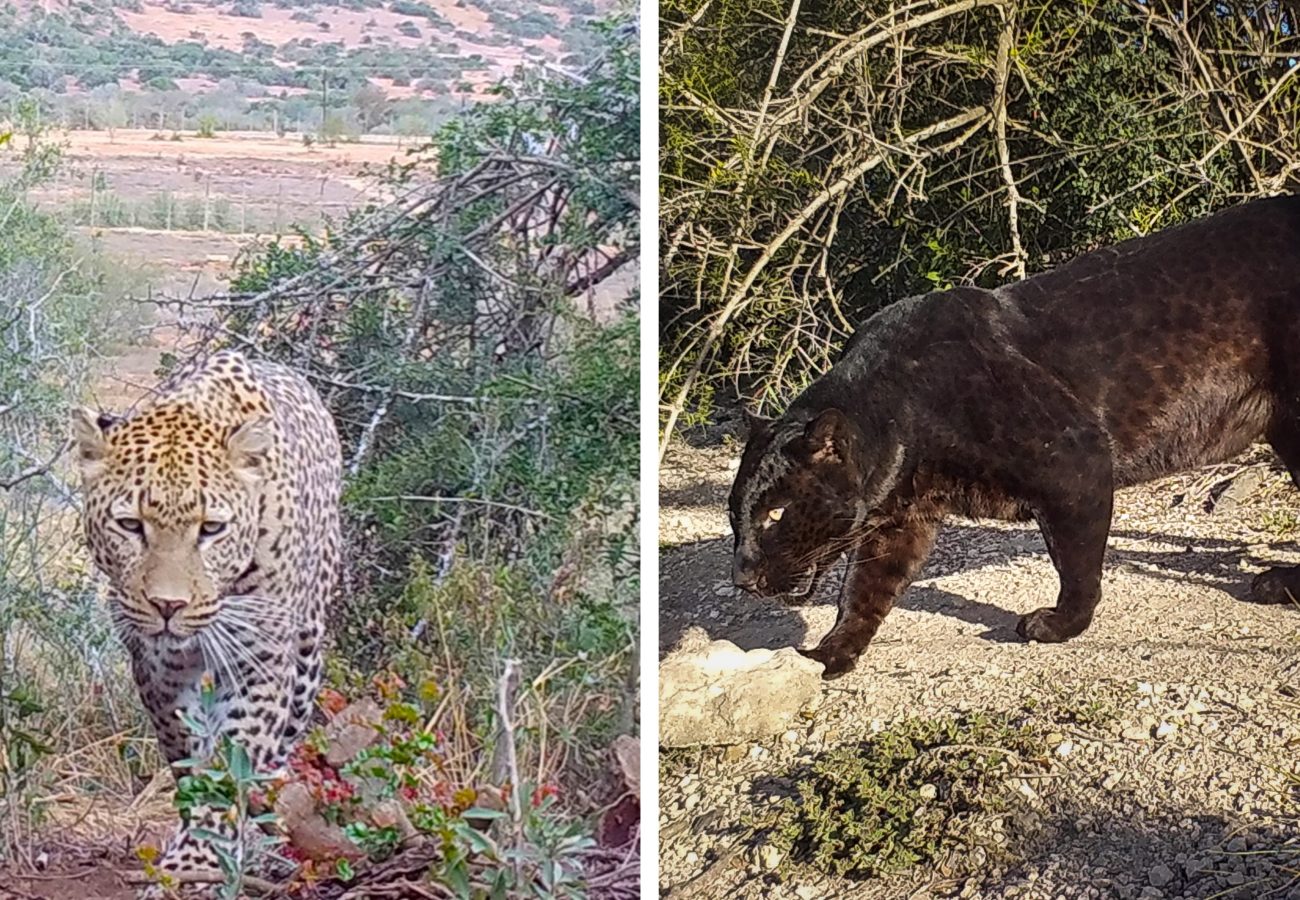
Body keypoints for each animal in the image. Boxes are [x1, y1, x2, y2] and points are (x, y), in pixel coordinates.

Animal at [72, 349, 341, 894]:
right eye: (130, 525)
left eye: (211, 529)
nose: (168, 606)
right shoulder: (157, 669)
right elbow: (187, 754)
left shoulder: (261, 661)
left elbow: (231, 760)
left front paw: (197, 861)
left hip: (307, 654)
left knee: (279, 749)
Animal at [729, 195, 1300, 680]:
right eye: (735, 517)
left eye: (775, 514)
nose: (742, 579)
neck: (899, 413)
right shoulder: (901, 522)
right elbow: (862, 590)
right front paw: (830, 653)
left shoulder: (1077, 463)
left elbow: (1075, 562)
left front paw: (1061, 625)